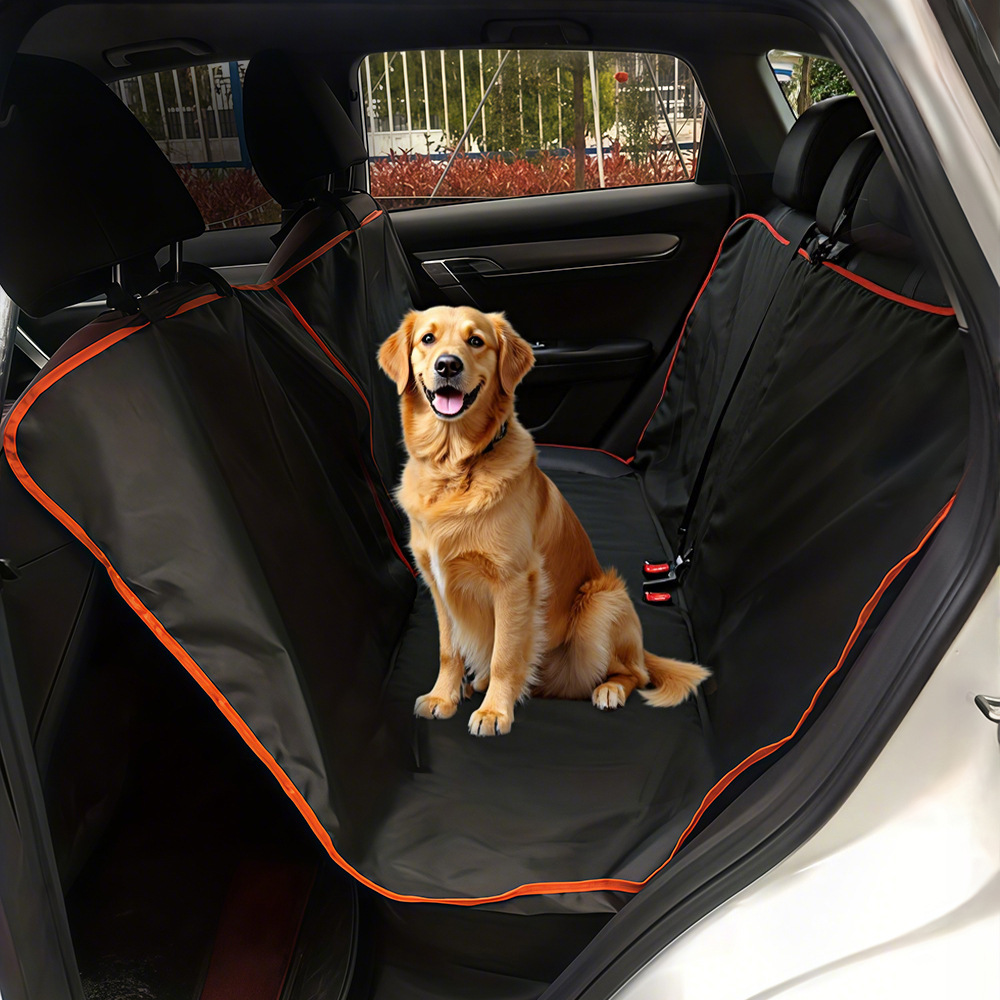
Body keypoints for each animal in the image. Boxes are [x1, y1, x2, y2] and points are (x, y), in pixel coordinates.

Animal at [378, 305, 709, 736]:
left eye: (475, 341)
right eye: (427, 339)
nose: (447, 365)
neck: (455, 466)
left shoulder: (513, 581)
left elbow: (505, 653)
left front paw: (494, 712)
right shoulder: (438, 583)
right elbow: (449, 651)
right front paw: (442, 697)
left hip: (601, 602)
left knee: (633, 673)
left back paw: (608, 690)